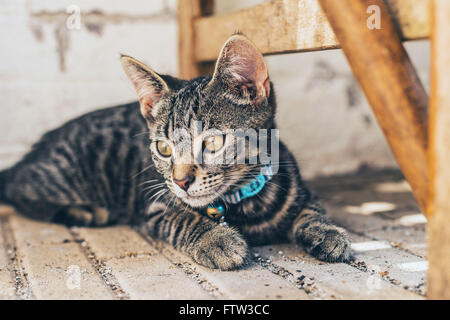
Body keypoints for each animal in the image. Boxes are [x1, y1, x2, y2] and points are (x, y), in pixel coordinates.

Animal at [0, 35, 352, 270]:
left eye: (212, 142)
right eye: (163, 147)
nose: (181, 181)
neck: (242, 204)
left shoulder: (301, 189)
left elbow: (312, 210)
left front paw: (327, 232)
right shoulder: (154, 207)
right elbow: (183, 218)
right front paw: (217, 239)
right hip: (63, 173)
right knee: (20, 191)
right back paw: (86, 210)